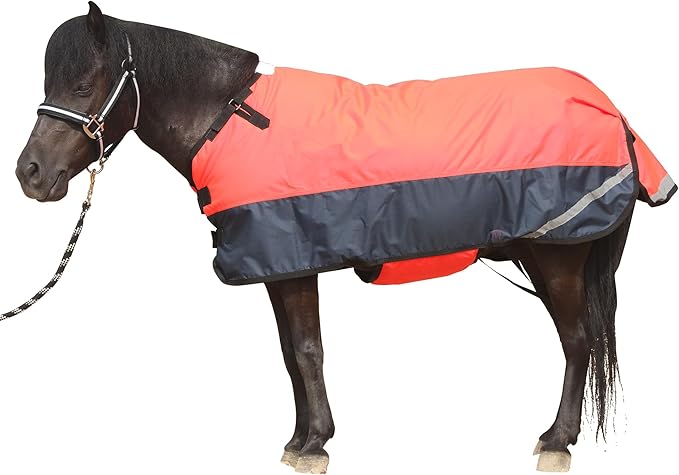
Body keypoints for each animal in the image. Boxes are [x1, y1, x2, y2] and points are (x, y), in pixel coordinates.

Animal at [11, 2, 676, 473]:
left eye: (83, 85)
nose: (30, 175)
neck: (228, 120)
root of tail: (612, 113)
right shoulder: (278, 268)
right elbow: (290, 354)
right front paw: (302, 437)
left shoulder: (293, 260)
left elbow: (307, 350)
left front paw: (314, 446)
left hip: (556, 257)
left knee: (577, 341)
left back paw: (556, 441)